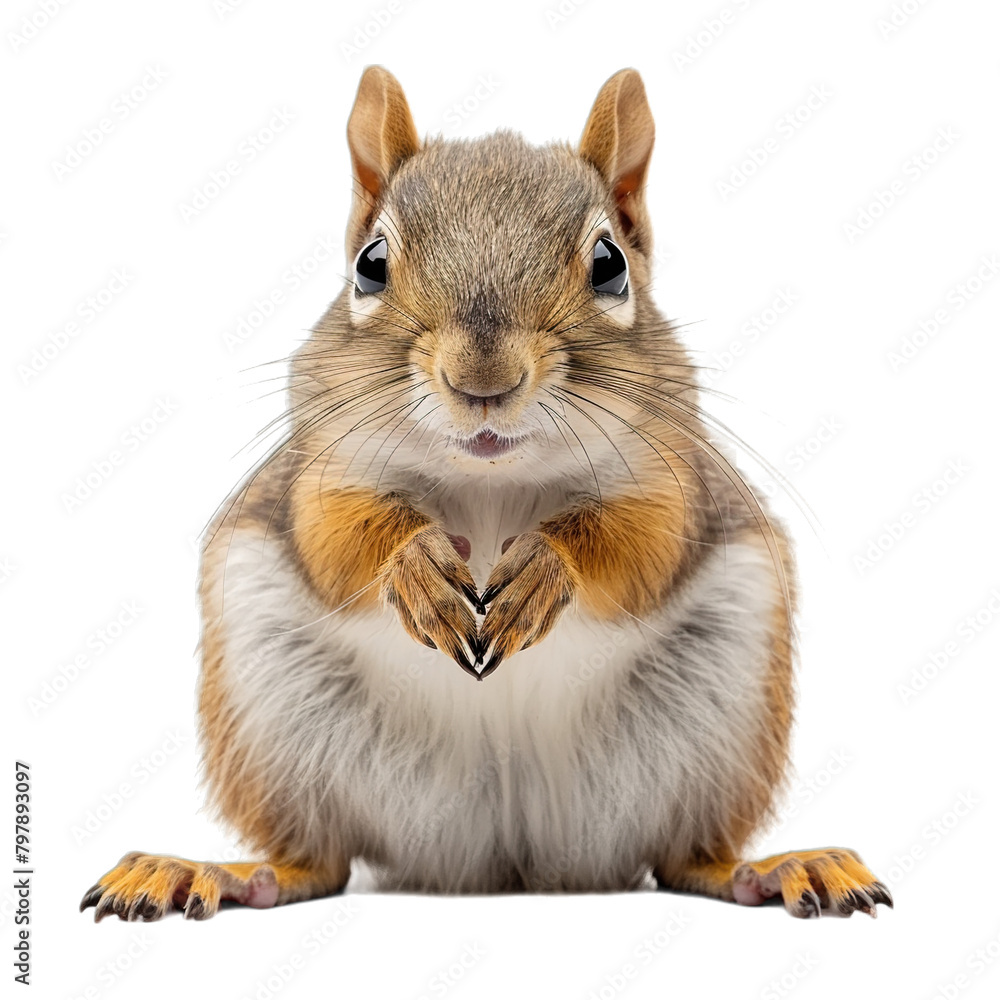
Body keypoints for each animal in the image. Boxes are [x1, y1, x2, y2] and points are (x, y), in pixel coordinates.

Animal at [81, 67, 892, 921]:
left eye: (610, 265)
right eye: (370, 264)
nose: (482, 382)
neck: (491, 481)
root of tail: (502, 855)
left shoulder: (674, 472)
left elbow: (644, 544)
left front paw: (542, 569)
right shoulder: (319, 464)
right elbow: (333, 536)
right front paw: (417, 566)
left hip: (721, 718)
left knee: (686, 856)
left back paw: (776, 868)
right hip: (273, 718)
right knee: (315, 861)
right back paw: (212, 872)